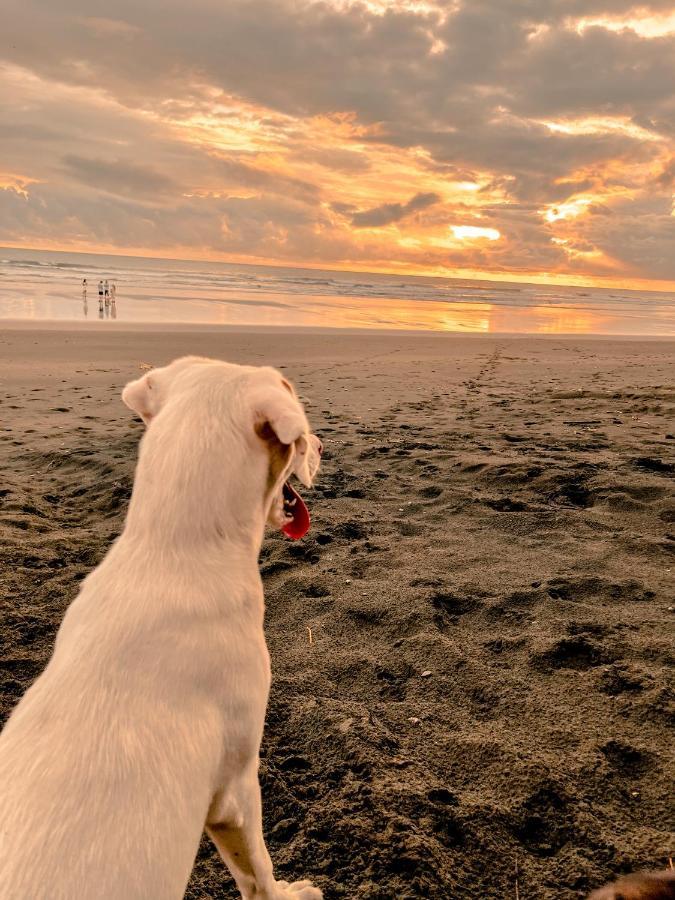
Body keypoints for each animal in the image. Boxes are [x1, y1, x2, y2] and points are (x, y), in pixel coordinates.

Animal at [0, 358, 324, 900]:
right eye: (291, 391)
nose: (320, 444)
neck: (171, 546)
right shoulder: (235, 791)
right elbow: (257, 872)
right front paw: (288, 893)